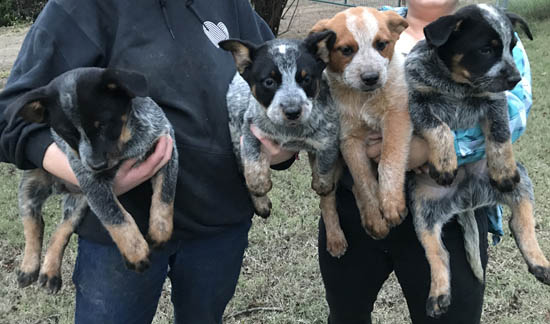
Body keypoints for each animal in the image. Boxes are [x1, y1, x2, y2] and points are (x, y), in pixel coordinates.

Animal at [6, 67, 179, 294]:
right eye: (67, 133)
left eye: (104, 125)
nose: (96, 165)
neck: (128, 141)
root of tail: (61, 186)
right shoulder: (90, 181)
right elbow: (114, 215)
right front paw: (135, 252)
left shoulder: (167, 147)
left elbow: (165, 195)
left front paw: (160, 232)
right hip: (30, 188)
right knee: (34, 224)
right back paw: (29, 267)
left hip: (78, 203)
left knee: (60, 231)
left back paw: (50, 273)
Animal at [220, 31, 350, 256]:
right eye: (269, 81)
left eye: (306, 79)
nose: (292, 111)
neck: (291, 131)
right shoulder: (250, 129)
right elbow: (254, 169)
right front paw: (261, 188)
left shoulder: (328, 140)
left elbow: (324, 173)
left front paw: (321, 184)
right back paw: (261, 204)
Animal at [312, 7, 412, 239]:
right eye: (346, 49)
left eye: (381, 44)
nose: (371, 77)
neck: (363, 99)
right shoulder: (349, 138)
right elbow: (364, 181)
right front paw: (377, 216)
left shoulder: (397, 116)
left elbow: (389, 161)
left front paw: (391, 203)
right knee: (328, 196)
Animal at [406, 3, 548, 318]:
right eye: (486, 49)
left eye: (512, 47)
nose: (515, 79)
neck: (458, 85)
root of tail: (467, 200)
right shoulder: (416, 103)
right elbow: (440, 128)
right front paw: (445, 163)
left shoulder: (495, 101)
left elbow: (499, 135)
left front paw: (502, 169)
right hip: (422, 208)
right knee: (439, 252)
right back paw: (439, 294)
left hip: (522, 181)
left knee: (521, 223)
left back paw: (540, 262)